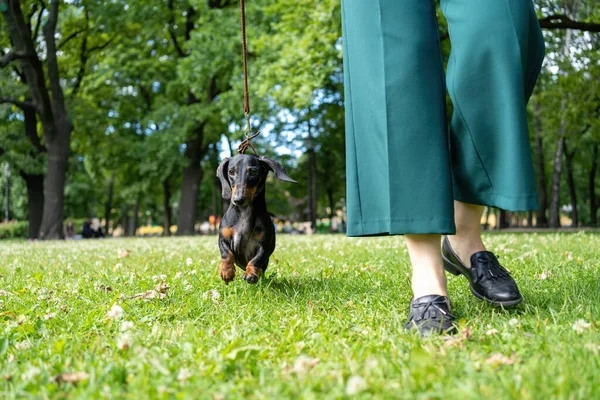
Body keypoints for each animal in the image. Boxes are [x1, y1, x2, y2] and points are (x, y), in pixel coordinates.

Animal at [218, 154, 298, 284]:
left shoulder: (263, 246)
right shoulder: (223, 238)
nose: (238, 199)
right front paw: (226, 272)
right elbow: (226, 253)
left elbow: (256, 260)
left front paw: (251, 273)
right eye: (231, 172)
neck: (244, 211)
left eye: (253, 171)